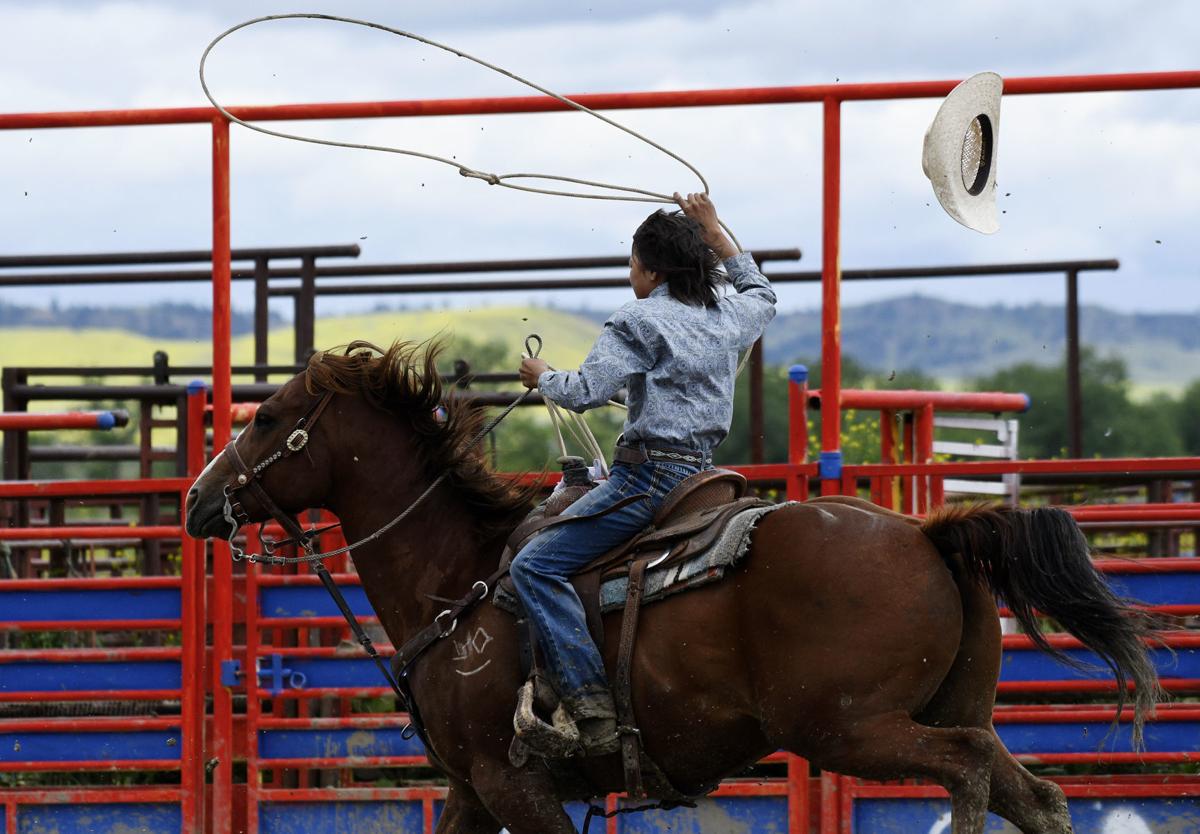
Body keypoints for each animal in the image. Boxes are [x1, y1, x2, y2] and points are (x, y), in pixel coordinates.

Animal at [184, 343, 1161, 834]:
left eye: (271, 419)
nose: (197, 500)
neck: (458, 581)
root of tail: (924, 533)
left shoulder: (513, 781)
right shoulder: (468, 787)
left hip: (851, 727)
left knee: (965, 776)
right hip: (949, 708)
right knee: (1028, 794)